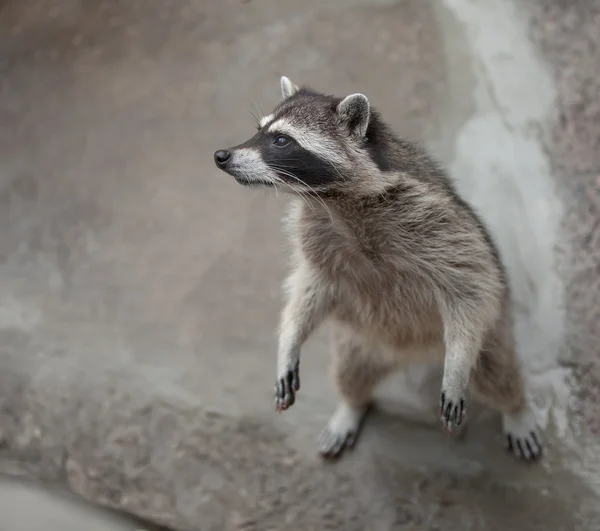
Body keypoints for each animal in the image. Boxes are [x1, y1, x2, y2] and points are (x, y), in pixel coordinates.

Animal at [212, 76, 544, 462]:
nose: (221, 156)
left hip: (492, 336)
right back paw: (350, 405)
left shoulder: (434, 219)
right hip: (359, 342)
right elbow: (309, 288)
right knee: (350, 373)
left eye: (281, 140)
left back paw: (515, 409)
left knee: (498, 374)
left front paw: (459, 369)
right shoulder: (316, 237)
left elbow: (468, 283)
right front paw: (289, 339)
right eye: (259, 131)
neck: (332, 202)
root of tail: (417, 352)